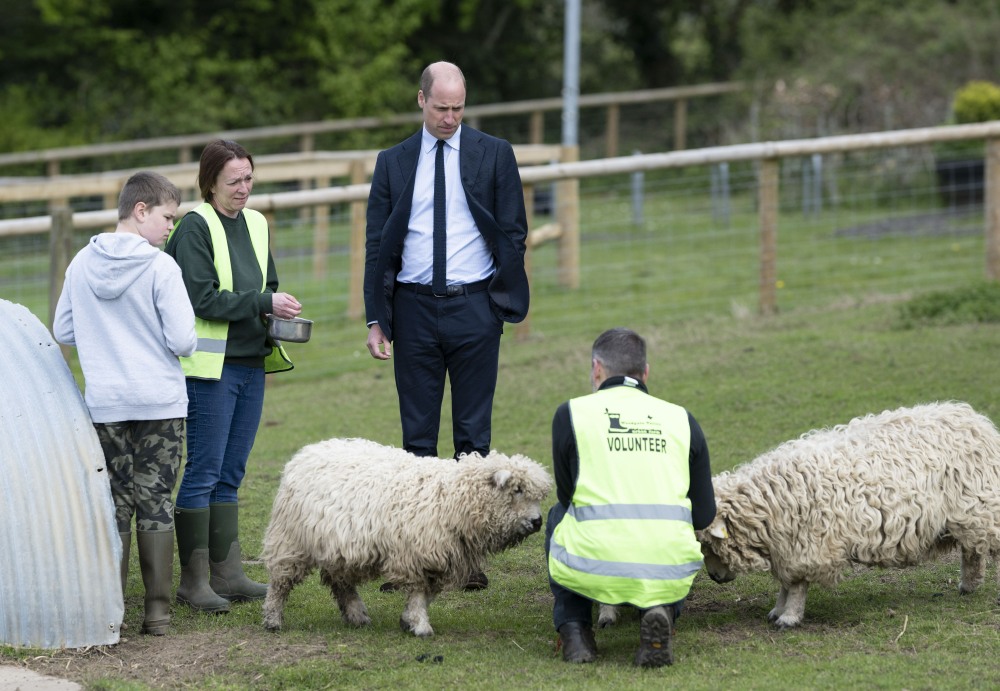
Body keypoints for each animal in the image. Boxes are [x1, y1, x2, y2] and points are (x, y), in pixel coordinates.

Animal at [262, 438, 552, 636]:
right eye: (516, 490)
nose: (538, 522)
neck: (452, 497)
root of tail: (307, 452)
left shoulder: (436, 559)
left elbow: (428, 594)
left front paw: (408, 620)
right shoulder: (414, 555)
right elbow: (418, 593)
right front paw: (420, 625)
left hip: (338, 546)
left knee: (340, 583)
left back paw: (356, 616)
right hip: (291, 540)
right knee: (280, 583)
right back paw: (273, 619)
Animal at [696, 402, 1000, 628]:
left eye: (708, 544)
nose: (715, 577)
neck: (768, 502)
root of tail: (977, 421)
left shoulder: (806, 546)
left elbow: (796, 585)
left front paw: (789, 617)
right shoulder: (786, 548)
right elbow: (785, 583)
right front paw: (777, 611)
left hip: (980, 508)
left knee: (978, 550)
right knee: (973, 551)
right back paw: (968, 586)